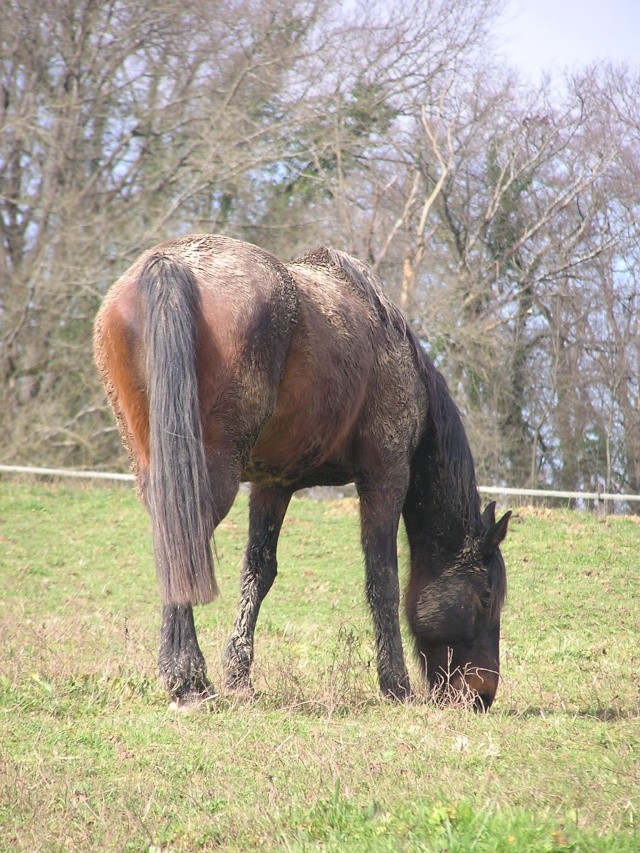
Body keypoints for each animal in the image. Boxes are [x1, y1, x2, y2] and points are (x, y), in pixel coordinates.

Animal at [92, 233, 510, 712]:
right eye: (485, 596)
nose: (482, 696)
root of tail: (171, 261)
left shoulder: (273, 484)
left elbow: (258, 573)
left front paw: (239, 678)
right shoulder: (385, 476)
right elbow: (382, 577)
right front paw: (395, 686)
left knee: (173, 549)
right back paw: (189, 680)